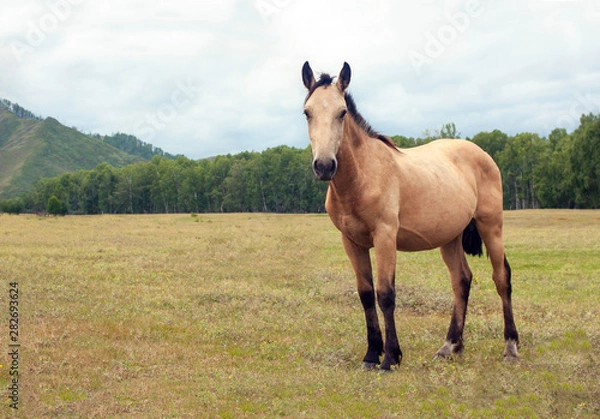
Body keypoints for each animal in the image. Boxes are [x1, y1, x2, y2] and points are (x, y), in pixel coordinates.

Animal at [302, 61, 516, 370]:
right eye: (307, 112)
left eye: (341, 112)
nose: (324, 166)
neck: (363, 176)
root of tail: (480, 153)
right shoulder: (351, 243)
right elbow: (366, 295)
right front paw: (371, 355)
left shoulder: (385, 237)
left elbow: (386, 294)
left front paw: (391, 357)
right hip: (449, 238)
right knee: (461, 280)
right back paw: (450, 346)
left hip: (492, 227)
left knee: (501, 278)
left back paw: (510, 347)